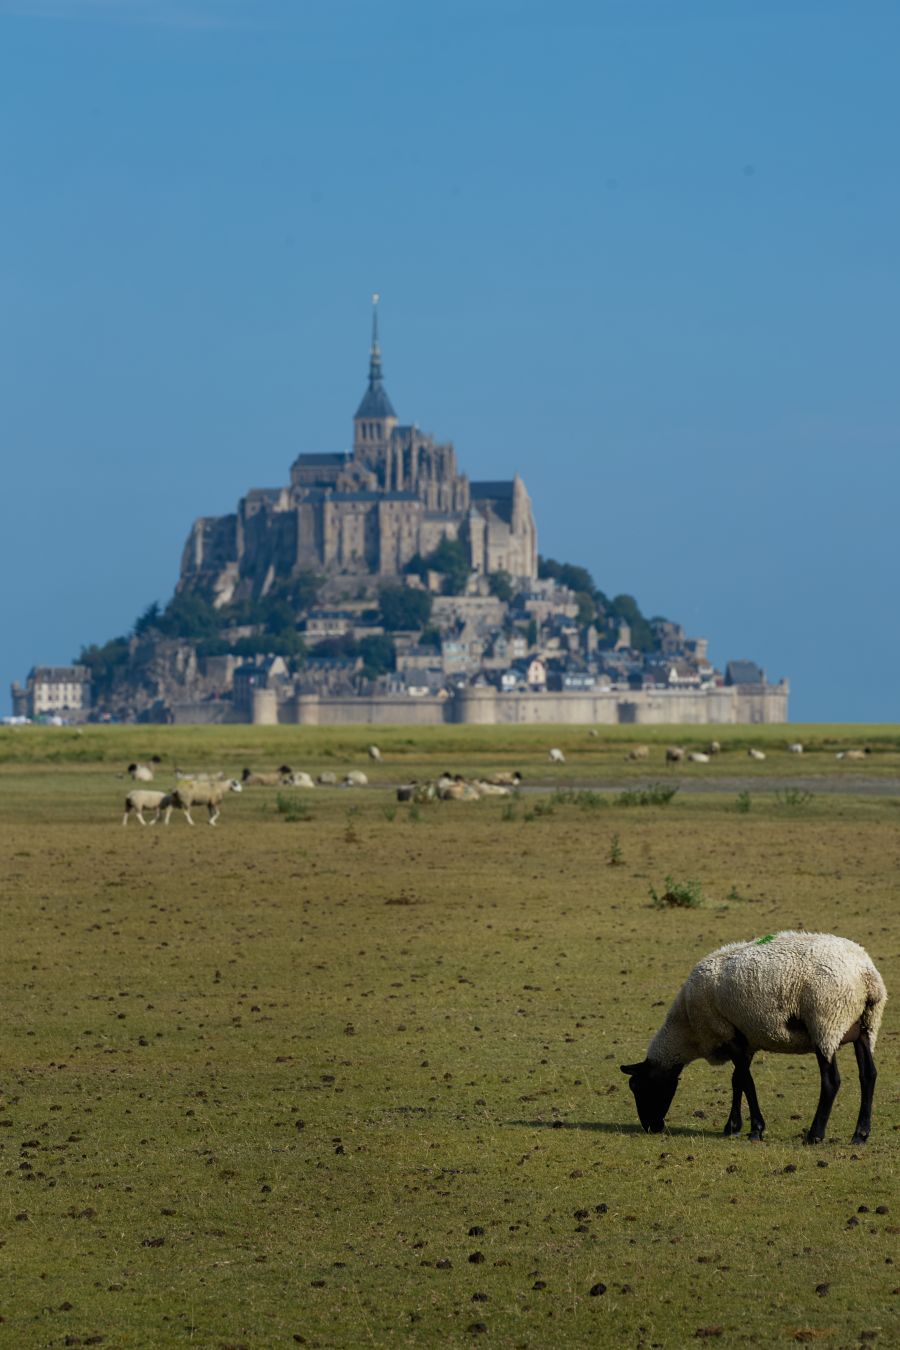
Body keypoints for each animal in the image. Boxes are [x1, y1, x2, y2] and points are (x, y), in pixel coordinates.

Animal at [620, 931, 886, 1145]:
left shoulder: (728, 1033)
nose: (651, 1127)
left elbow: (745, 1081)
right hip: (865, 1026)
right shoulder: (744, 1040)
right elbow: (737, 1080)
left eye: (637, 1086)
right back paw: (860, 1135)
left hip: (826, 1022)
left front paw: (755, 1129)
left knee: (831, 1081)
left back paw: (815, 1135)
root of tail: (867, 976)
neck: (687, 1029)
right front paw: (733, 1127)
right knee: (869, 1075)